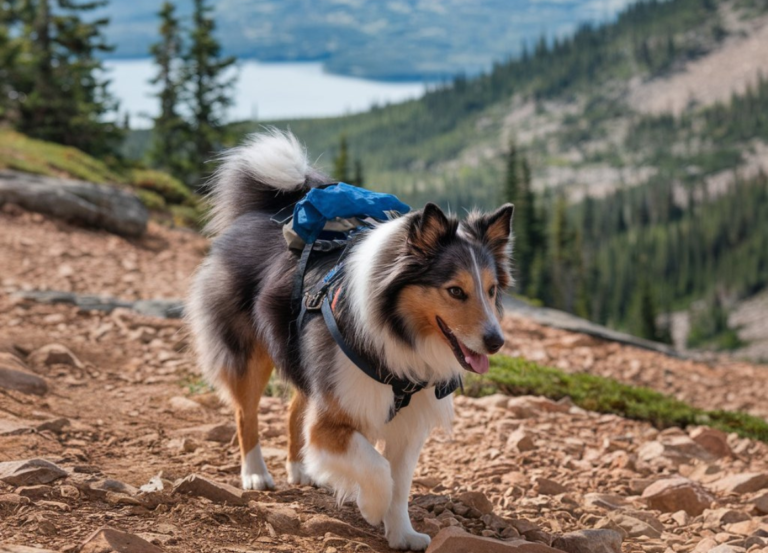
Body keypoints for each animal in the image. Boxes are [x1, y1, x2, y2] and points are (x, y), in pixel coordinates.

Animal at [186, 128, 512, 548]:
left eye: (491, 290)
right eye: (455, 291)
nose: (495, 342)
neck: (397, 332)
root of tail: (258, 214)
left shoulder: (407, 423)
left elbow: (400, 482)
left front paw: (402, 533)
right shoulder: (334, 417)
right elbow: (378, 469)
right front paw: (371, 507)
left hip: (305, 360)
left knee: (293, 411)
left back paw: (301, 469)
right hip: (249, 354)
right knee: (246, 413)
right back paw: (256, 474)